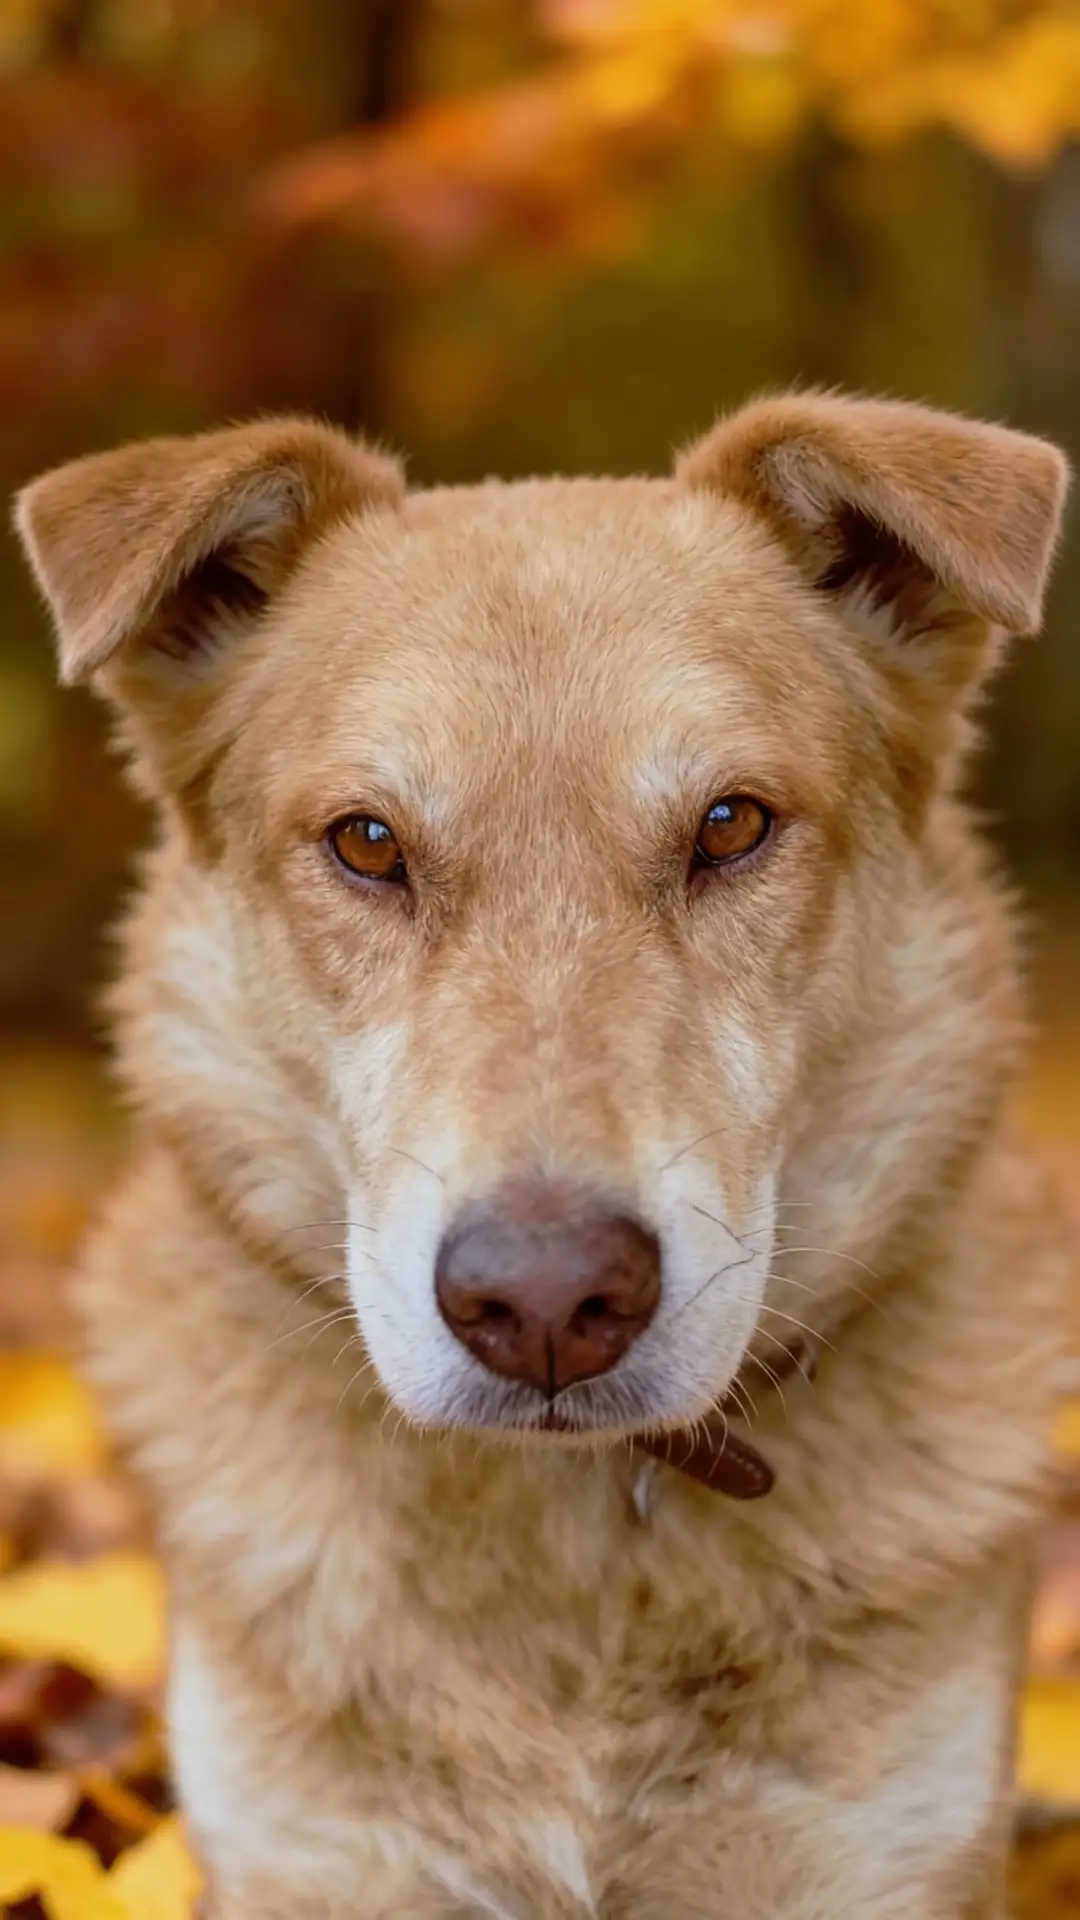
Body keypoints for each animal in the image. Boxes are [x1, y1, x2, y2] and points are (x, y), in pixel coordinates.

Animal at [15, 390, 1074, 1918]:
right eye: (368, 843)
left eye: (732, 824)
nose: (546, 1302)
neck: (570, 1542)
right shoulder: (314, 1860)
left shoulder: (876, 1856)